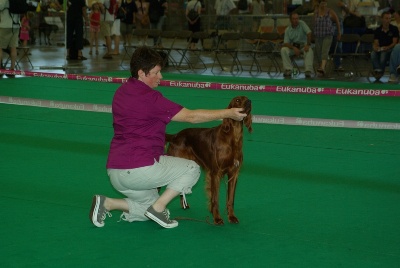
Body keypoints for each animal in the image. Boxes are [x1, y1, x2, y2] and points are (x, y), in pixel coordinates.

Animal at [166, 96, 253, 224]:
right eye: (237, 100)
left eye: (247, 98)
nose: (249, 102)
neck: (233, 137)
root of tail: (175, 136)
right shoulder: (216, 173)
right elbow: (215, 199)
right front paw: (217, 218)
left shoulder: (233, 173)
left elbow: (230, 199)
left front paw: (232, 217)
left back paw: (184, 205)